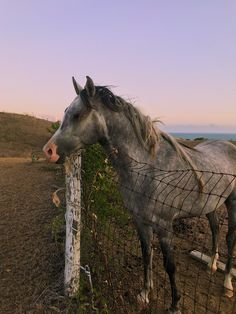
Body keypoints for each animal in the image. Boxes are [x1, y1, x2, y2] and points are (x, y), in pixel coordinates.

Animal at [43, 76, 236, 314]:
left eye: (77, 114)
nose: (48, 151)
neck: (148, 168)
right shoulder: (140, 221)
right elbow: (146, 255)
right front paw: (144, 294)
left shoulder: (164, 226)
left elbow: (170, 266)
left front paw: (175, 304)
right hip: (211, 204)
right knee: (216, 228)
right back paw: (212, 264)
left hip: (232, 202)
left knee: (229, 238)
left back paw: (227, 283)